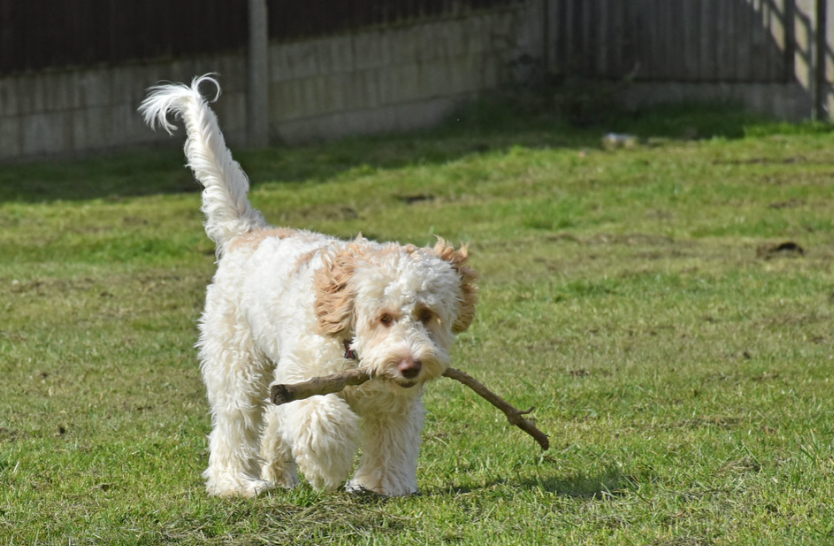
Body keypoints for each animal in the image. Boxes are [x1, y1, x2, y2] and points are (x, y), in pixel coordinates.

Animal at [136, 76, 474, 498]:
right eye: (383, 317)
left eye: (427, 315)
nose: (410, 366)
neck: (352, 352)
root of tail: (249, 232)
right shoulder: (301, 378)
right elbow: (321, 419)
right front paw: (327, 468)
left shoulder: (395, 404)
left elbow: (392, 441)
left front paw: (382, 485)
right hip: (238, 363)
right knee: (235, 423)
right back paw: (235, 482)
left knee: (270, 426)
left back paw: (278, 475)